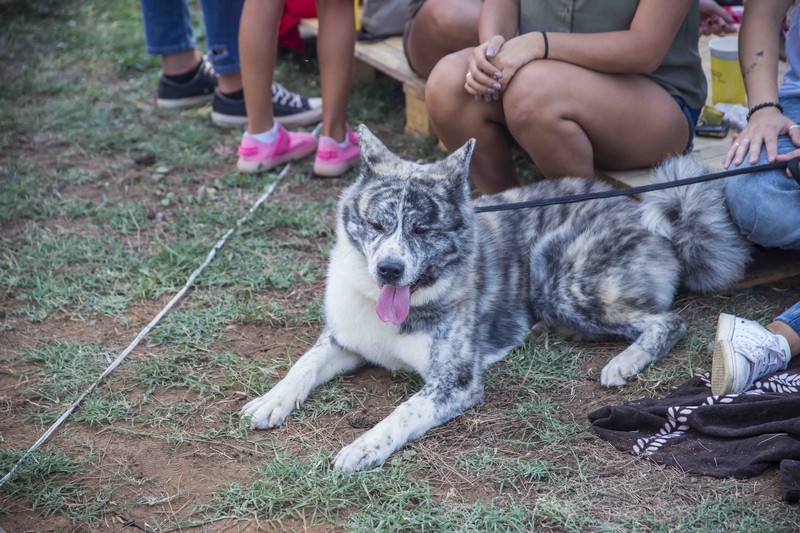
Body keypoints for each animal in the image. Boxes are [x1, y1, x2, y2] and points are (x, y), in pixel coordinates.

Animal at [242, 124, 752, 470]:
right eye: (377, 224)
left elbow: (401, 415)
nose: (389, 269)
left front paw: (363, 446)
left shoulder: (455, 382)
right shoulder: (344, 342)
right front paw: (271, 400)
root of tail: (661, 224)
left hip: (554, 272)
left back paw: (622, 362)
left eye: (422, 229)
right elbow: (304, 364)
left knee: (668, 321)